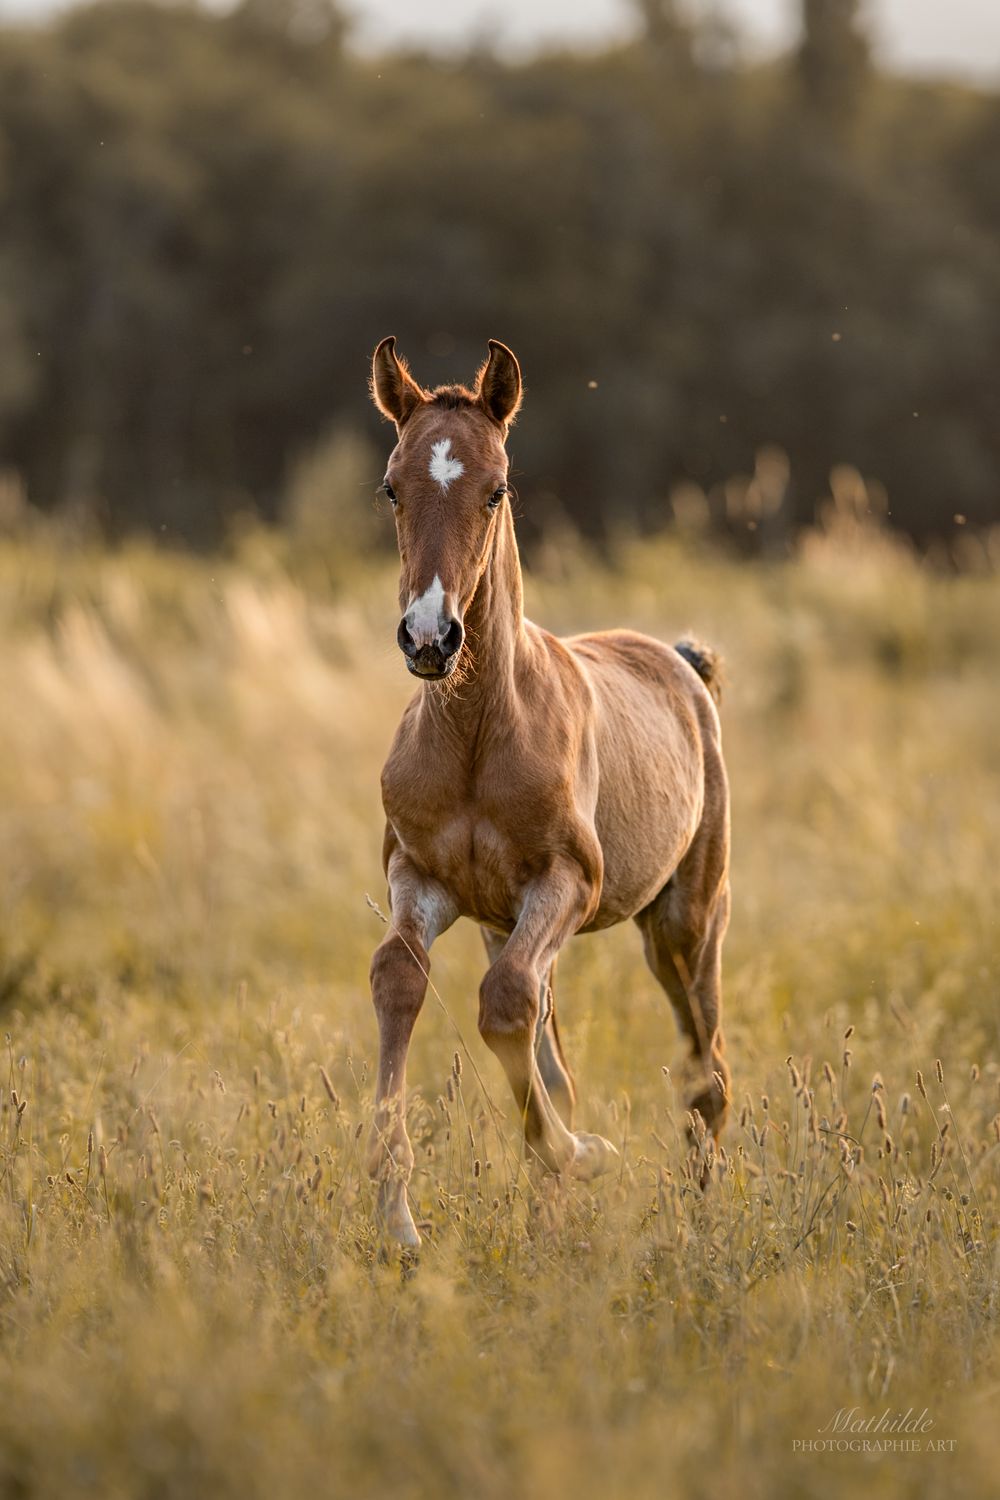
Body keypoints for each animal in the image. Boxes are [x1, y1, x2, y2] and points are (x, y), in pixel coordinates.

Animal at [366, 337, 731, 1247]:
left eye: (496, 487)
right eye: (392, 485)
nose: (430, 638)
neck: (475, 734)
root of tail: (683, 661)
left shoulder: (570, 880)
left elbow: (503, 1006)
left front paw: (587, 1153)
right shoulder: (419, 875)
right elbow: (400, 977)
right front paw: (396, 1220)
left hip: (684, 920)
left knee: (704, 1072)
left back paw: (700, 1220)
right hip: (507, 922)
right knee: (553, 1046)